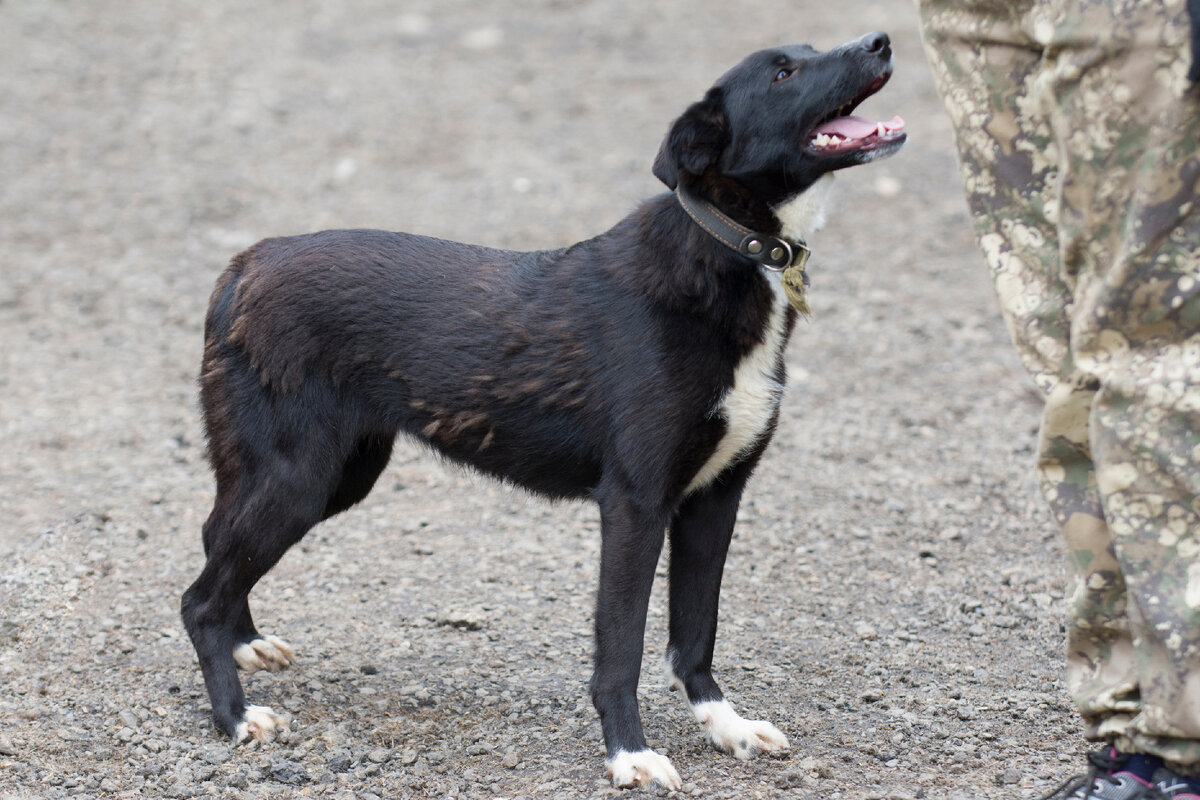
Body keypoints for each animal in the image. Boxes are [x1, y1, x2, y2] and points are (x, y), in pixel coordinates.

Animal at [182, 34, 902, 791]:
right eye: (784, 72)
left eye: (810, 51)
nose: (881, 40)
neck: (727, 250)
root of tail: (245, 263)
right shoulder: (635, 505)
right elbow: (621, 649)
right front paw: (629, 754)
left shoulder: (715, 499)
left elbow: (694, 637)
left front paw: (724, 724)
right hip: (300, 477)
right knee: (199, 598)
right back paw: (235, 716)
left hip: (335, 474)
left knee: (216, 540)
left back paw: (246, 642)